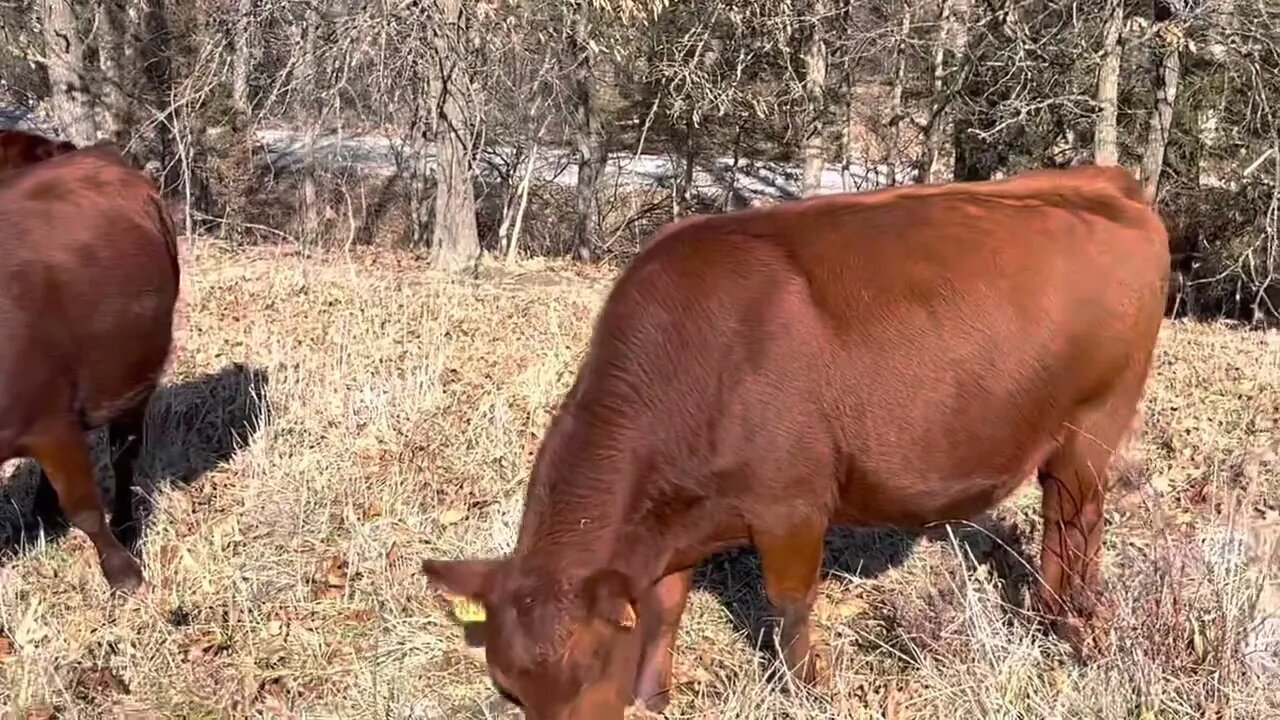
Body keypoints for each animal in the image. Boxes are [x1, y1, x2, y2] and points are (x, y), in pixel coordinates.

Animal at [0, 141, 181, 594]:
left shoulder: (49, 424)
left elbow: (84, 508)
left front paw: (124, 573)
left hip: (135, 379)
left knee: (124, 456)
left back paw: (126, 525)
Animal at [419, 163, 1172, 717]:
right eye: (509, 687)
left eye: (589, 666)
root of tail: (1105, 180)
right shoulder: (670, 524)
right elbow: (665, 606)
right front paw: (654, 696)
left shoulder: (793, 504)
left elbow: (788, 606)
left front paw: (808, 690)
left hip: (1093, 427)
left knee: (1077, 521)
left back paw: (1069, 627)